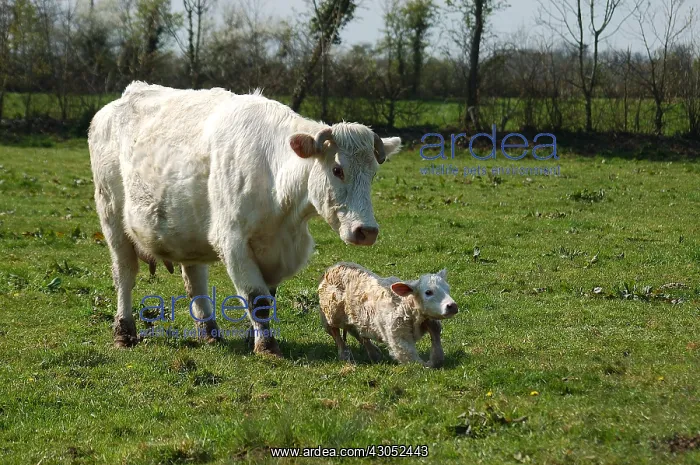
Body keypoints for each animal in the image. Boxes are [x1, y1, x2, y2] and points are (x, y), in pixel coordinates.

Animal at [88, 82, 402, 355]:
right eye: (337, 170)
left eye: (373, 174)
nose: (367, 231)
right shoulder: (233, 241)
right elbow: (256, 298)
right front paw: (266, 346)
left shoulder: (276, 249)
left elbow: (267, 297)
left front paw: (255, 337)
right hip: (112, 217)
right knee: (124, 275)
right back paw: (124, 332)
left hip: (187, 228)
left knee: (195, 279)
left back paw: (209, 332)